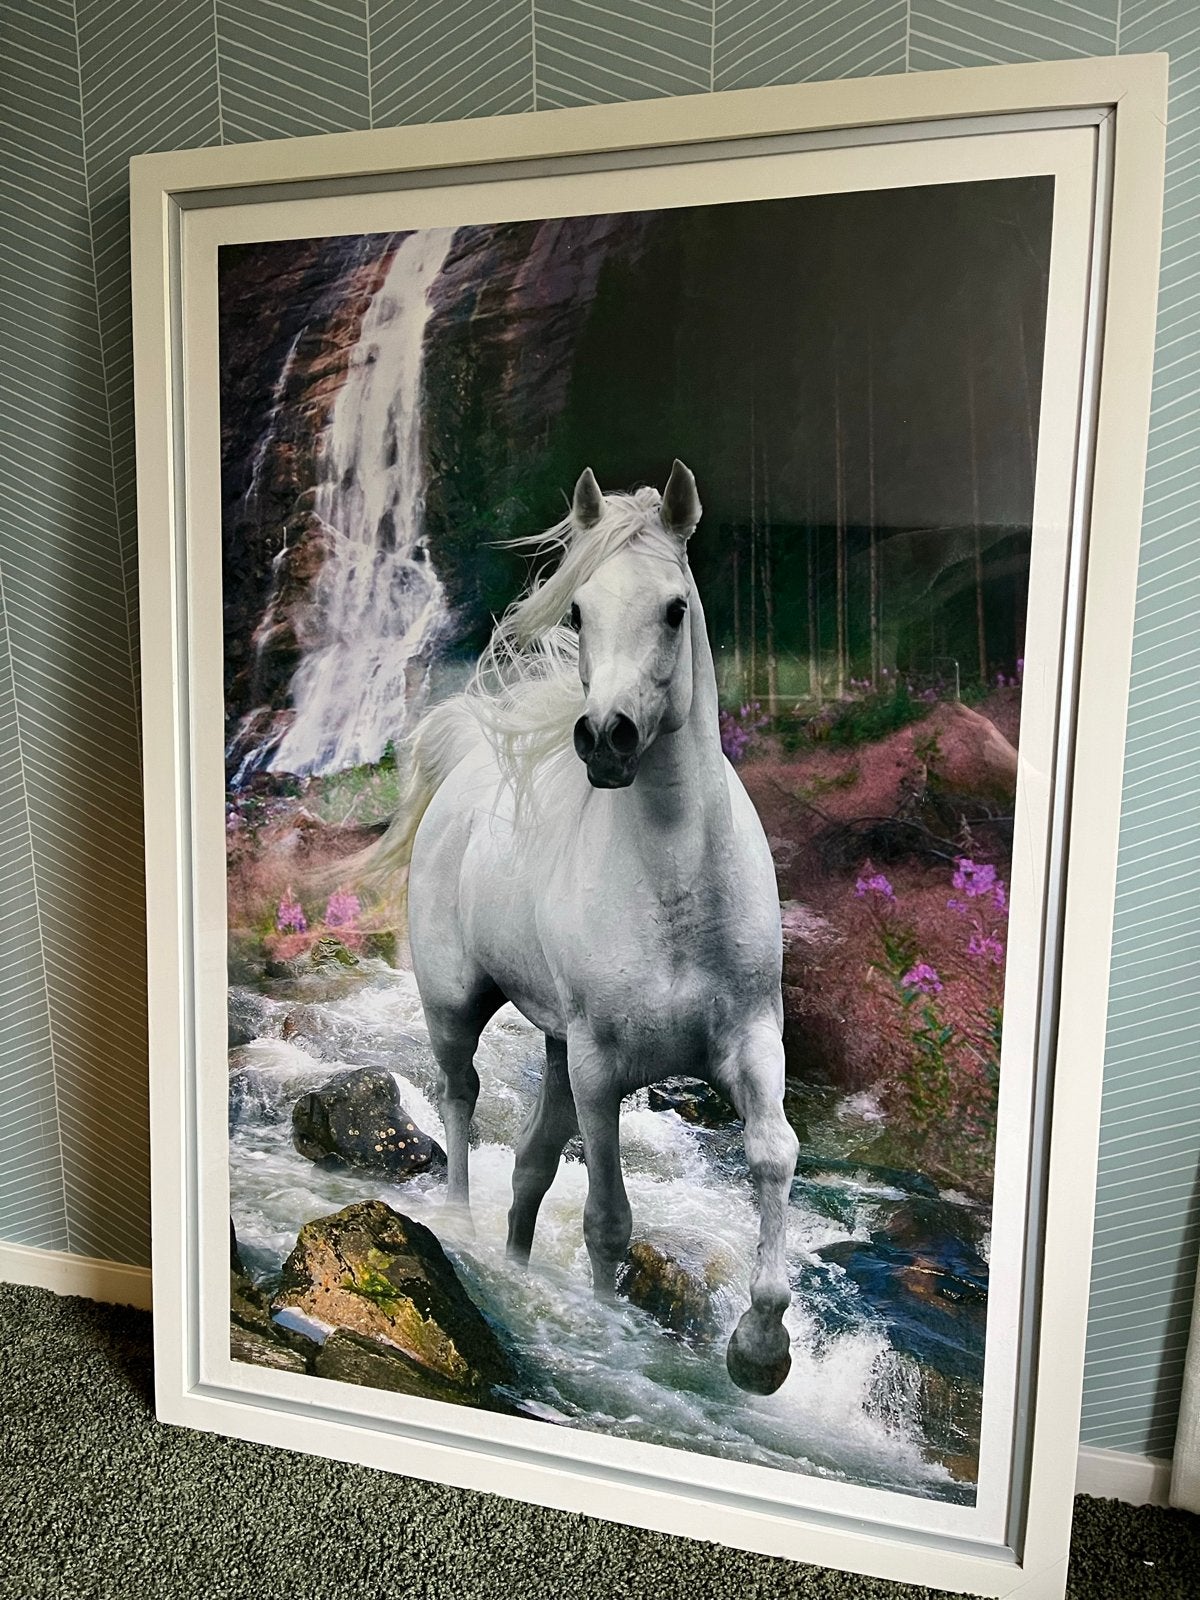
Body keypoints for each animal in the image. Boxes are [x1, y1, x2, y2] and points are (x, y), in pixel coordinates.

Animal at [368, 460, 799, 1395]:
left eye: (674, 608)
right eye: (576, 613)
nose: (606, 738)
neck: (674, 892)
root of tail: (465, 761)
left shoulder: (752, 1041)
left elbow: (774, 1154)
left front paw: (761, 1350)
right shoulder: (604, 1069)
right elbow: (608, 1218)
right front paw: (609, 1335)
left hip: (558, 1046)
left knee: (532, 1162)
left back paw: (514, 1264)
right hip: (458, 1009)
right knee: (461, 1099)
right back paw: (458, 1227)